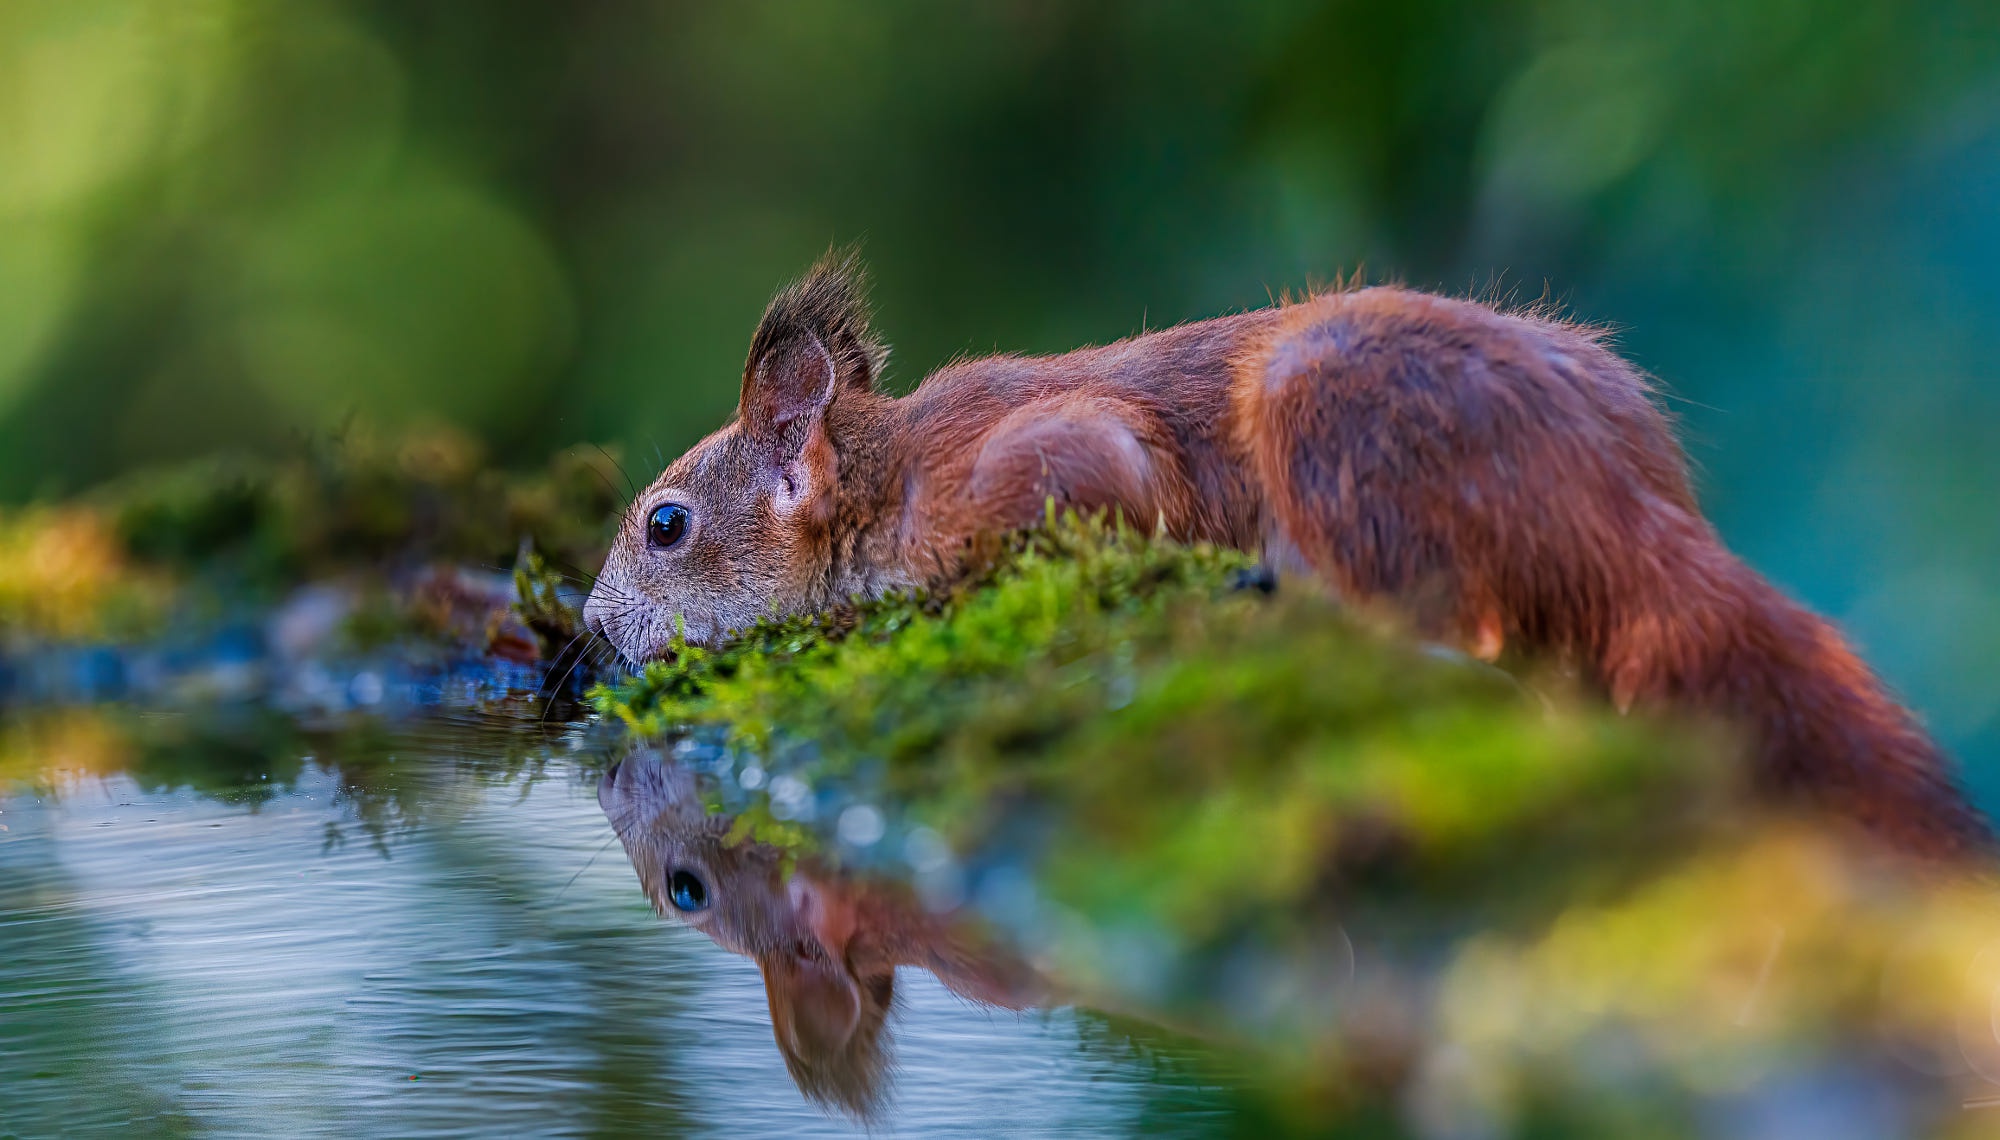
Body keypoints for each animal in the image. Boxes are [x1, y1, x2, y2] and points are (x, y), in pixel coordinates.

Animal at [580, 248, 1984, 852]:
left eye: (666, 526)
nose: (587, 637)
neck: (893, 476)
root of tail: (1624, 507)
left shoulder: (1059, 461)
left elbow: (1102, 495)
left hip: (1331, 416)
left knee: (1441, 621)